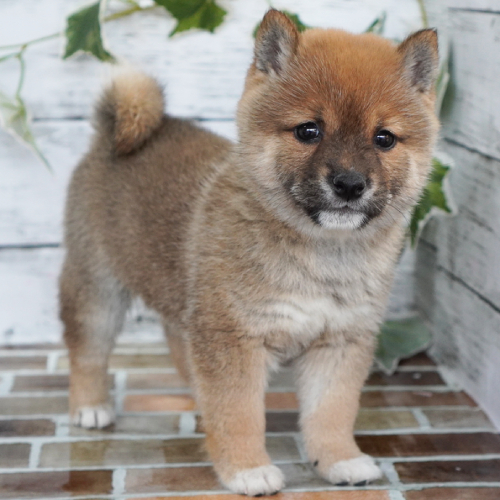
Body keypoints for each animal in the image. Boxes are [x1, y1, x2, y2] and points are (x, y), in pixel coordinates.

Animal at [60, 8, 440, 496]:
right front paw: (246, 469)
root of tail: (111, 137)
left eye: (384, 139)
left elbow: (331, 413)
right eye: (309, 130)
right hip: (98, 288)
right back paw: (90, 407)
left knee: (177, 345)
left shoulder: (340, 341)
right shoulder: (232, 338)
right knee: (87, 350)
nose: (350, 184)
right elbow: (239, 414)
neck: (318, 253)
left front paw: (339, 459)